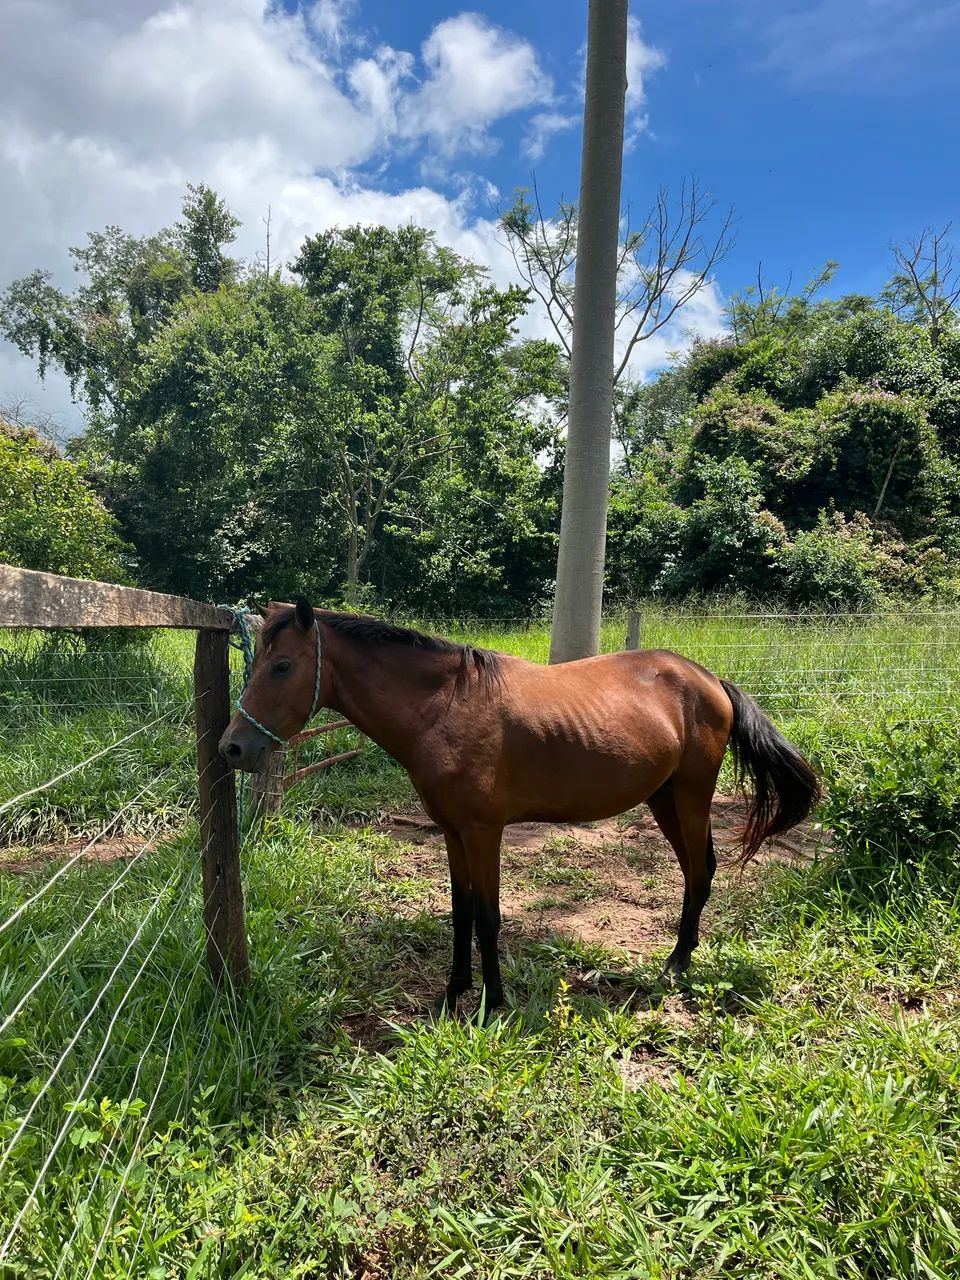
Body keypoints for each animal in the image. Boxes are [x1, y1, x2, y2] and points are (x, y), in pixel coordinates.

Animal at [219, 598, 820, 1014]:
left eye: (282, 666)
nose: (233, 748)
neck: (446, 707)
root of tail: (709, 678)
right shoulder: (452, 832)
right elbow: (461, 912)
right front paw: (453, 994)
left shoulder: (485, 831)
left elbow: (488, 916)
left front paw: (493, 1002)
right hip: (663, 799)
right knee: (700, 868)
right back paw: (680, 955)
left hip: (691, 797)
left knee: (699, 871)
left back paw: (677, 964)